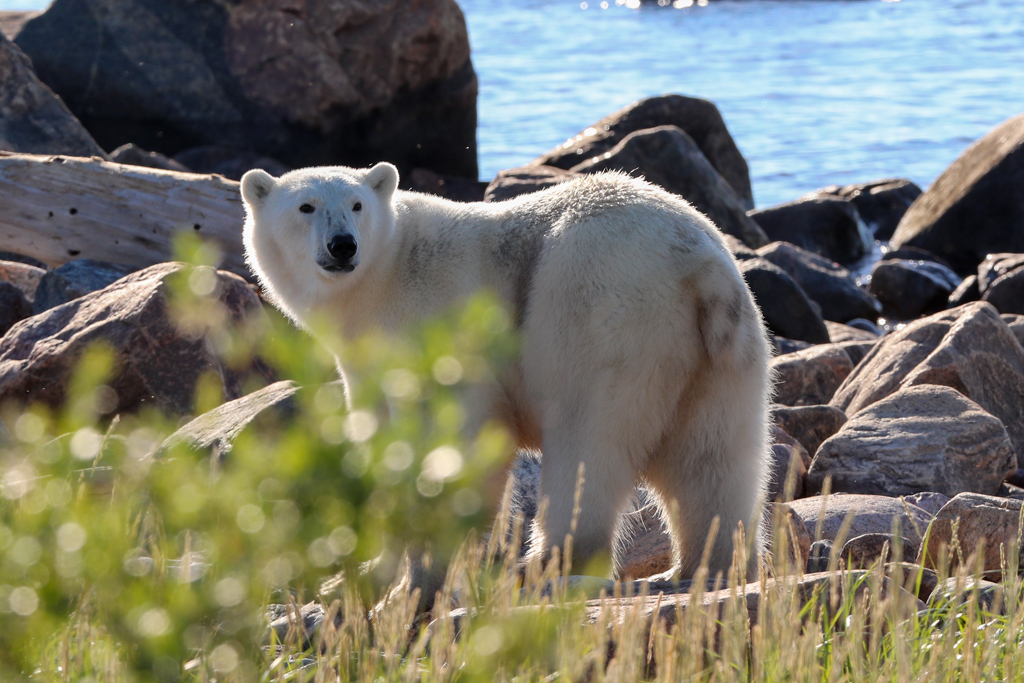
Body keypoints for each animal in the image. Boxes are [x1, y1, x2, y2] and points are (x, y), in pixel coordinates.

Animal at [237, 161, 770, 589]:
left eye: (356, 204)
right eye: (305, 206)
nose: (343, 246)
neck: (385, 279)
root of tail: (698, 262)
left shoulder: (440, 326)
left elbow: (457, 438)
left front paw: (427, 567)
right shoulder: (368, 362)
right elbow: (382, 441)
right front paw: (373, 568)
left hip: (599, 313)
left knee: (587, 444)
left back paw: (544, 564)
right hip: (720, 354)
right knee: (712, 459)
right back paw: (703, 566)